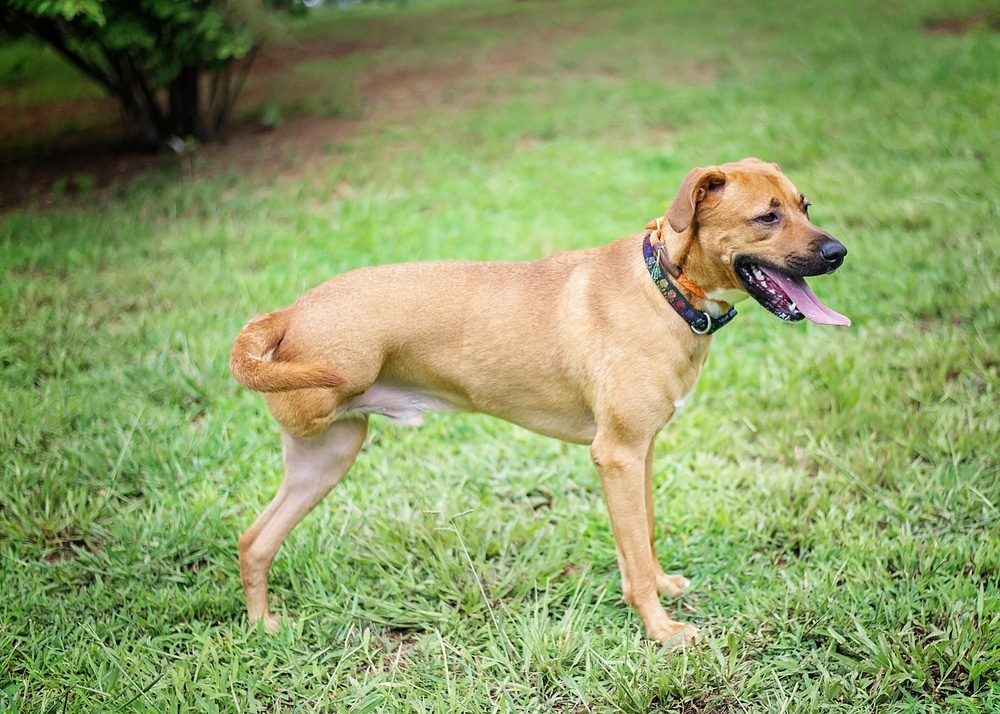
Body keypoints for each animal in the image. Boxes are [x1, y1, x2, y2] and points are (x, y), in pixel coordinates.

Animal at [230, 157, 848, 644]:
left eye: (805, 206)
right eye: (767, 216)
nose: (839, 252)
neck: (666, 286)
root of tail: (290, 312)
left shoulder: (641, 453)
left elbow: (642, 538)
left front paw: (659, 586)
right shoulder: (617, 455)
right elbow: (635, 555)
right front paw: (660, 630)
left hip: (325, 459)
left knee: (254, 542)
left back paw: (263, 627)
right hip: (329, 411)